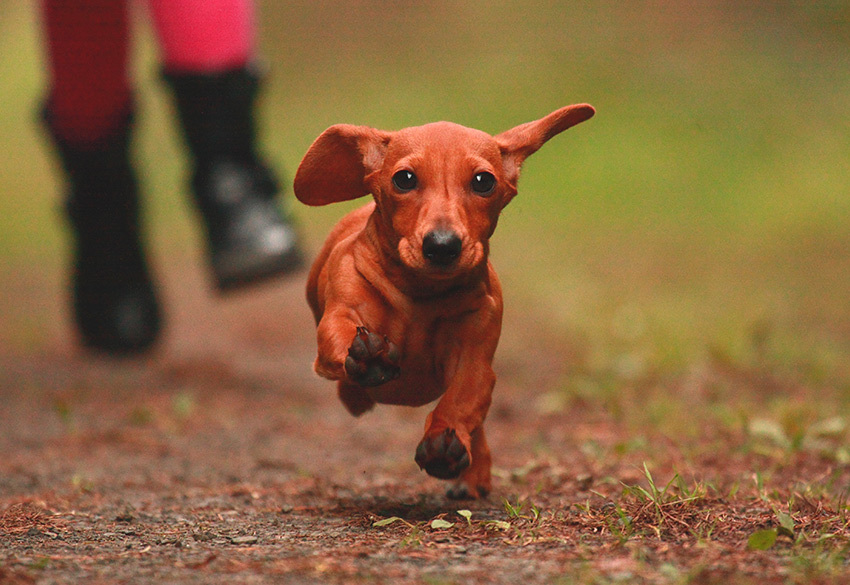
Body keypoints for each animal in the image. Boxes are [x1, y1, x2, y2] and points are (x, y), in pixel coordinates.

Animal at [294, 105, 592, 498]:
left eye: (483, 181)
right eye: (404, 178)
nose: (442, 245)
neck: (422, 294)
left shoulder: (475, 361)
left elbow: (461, 401)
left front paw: (442, 444)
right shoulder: (343, 310)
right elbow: (340, 334)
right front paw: (369, 356)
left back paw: (472, 472)